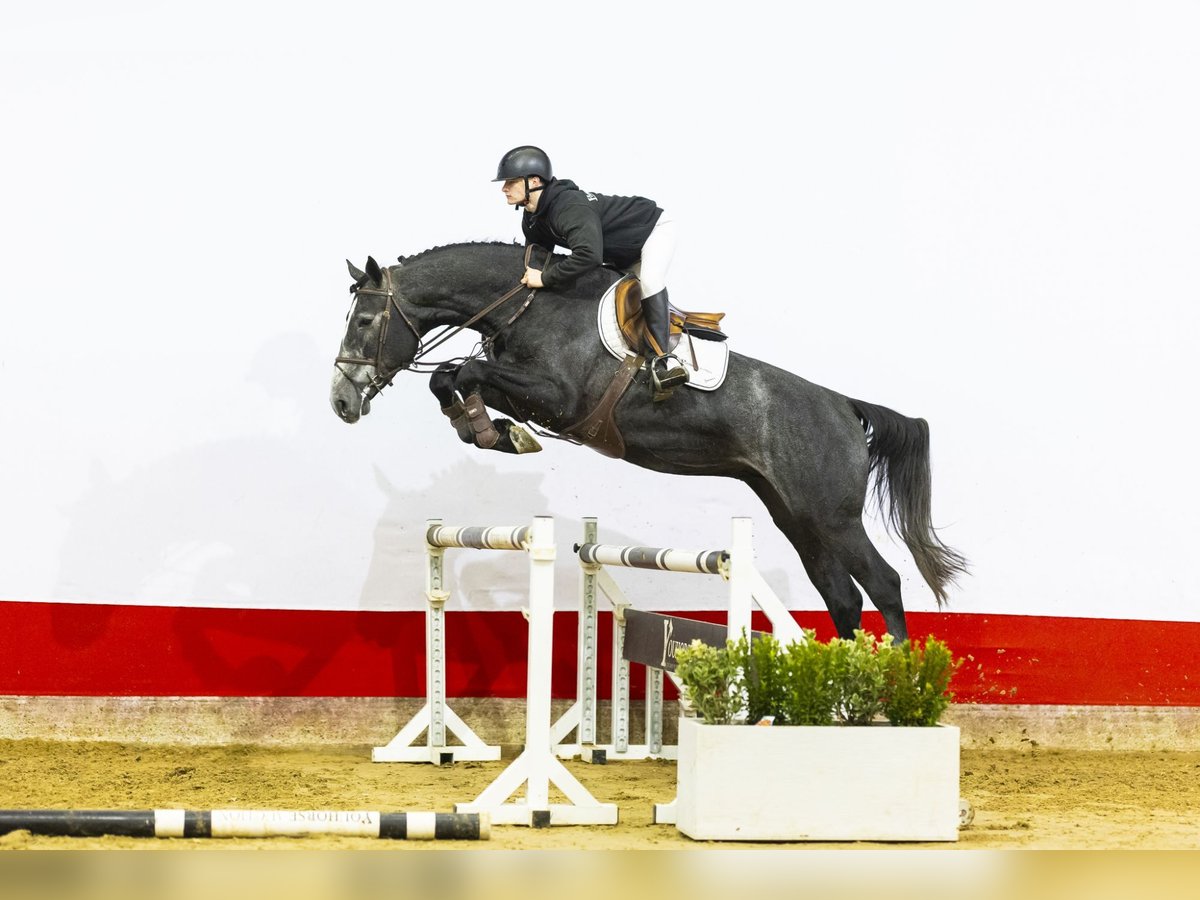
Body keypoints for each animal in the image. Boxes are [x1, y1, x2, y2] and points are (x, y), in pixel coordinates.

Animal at [328, 240, 964, 643]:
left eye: (363, 321)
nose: (341, 401)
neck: (530, 304)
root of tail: (843, 406)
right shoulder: (526, 391)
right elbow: (451, 376)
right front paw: (491, 432)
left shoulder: (560, 397)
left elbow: (464, 372)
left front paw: (497, 434)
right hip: (797, 517)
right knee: (842, 596)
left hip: (833, 517)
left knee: (883, 583)